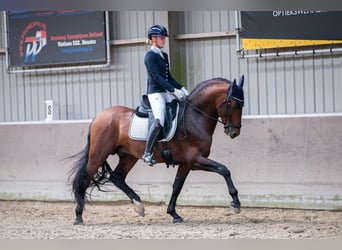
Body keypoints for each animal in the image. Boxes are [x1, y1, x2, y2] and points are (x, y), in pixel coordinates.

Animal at [69, 75, 244, 224]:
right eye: (234, 104)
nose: (234, 133)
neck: (194, 117)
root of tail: (98, 116)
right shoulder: (195, 160)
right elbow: (224, 169)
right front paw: (235, 203)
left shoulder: (186, 164)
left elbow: (177, 186)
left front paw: (174, 214)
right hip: (98, 154)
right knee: (85, 178)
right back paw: (78, 216)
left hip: (128, 156)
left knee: (117, 177)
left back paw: (139, 206)